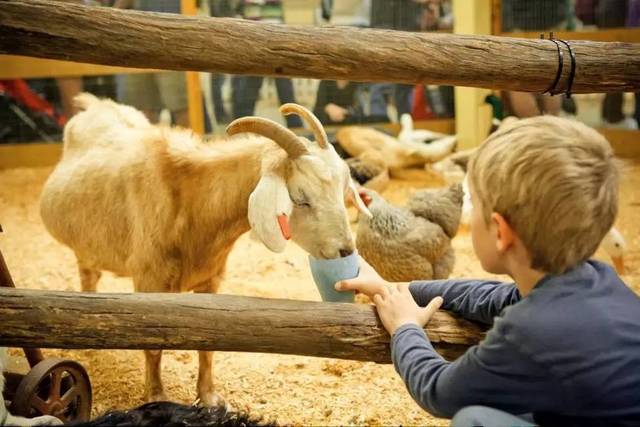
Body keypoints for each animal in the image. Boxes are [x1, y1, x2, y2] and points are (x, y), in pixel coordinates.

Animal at [38, 93, 370, 404]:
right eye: (300, 198)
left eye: (342, 191)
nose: (345, 250)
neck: (191, 200)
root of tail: (95, 103)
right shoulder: (149, 280)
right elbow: (152, 345)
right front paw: (156, 396)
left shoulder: (211, 280)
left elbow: (207, 342)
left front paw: (208, 396)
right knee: (88, 276)